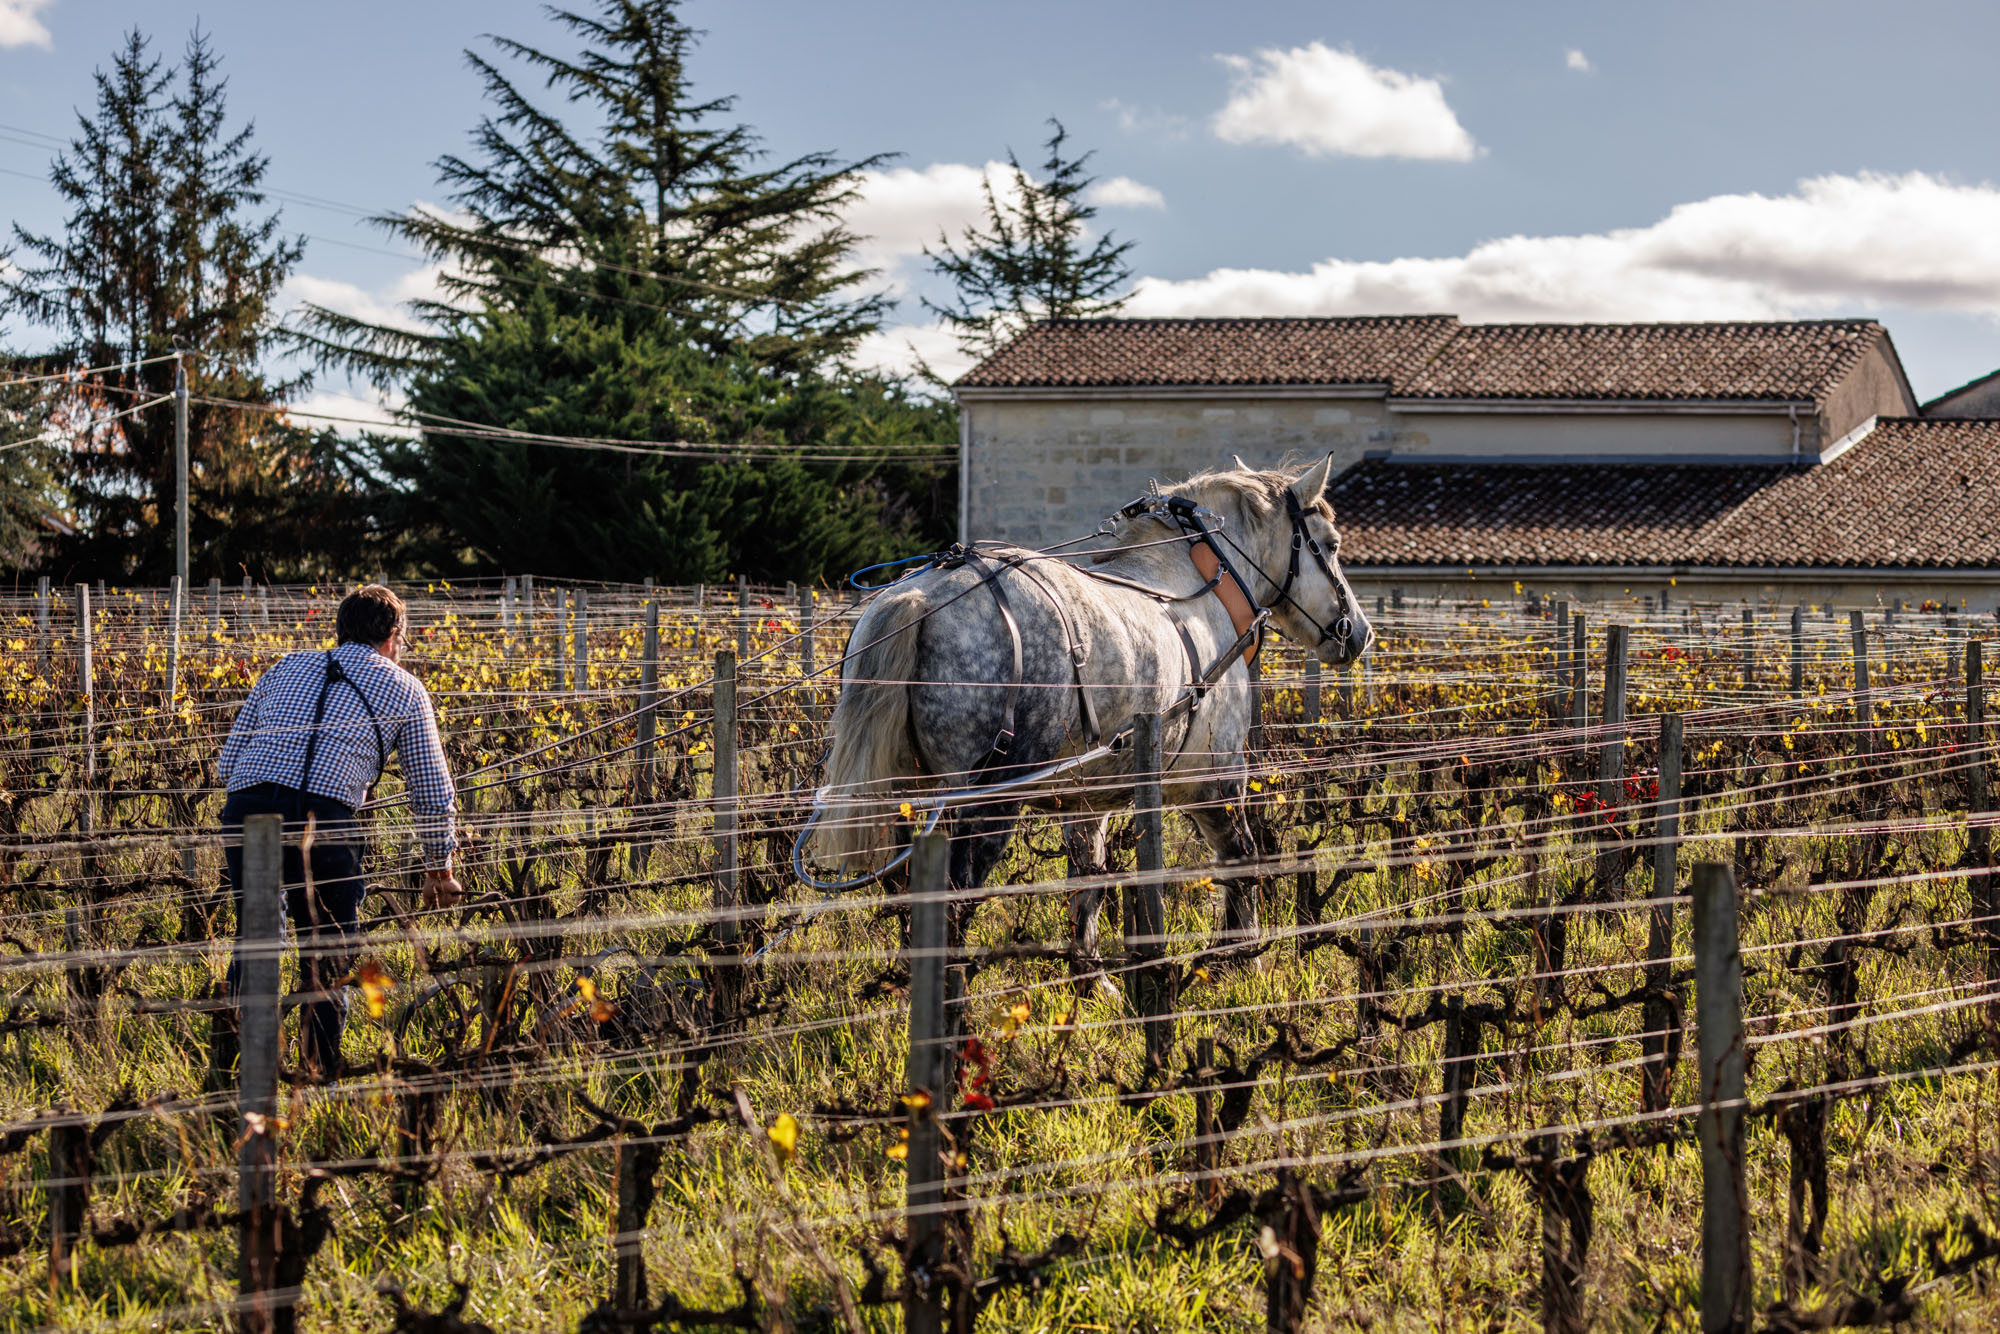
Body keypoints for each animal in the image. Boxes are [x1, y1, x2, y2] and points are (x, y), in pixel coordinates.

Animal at [809, 454, 1374, 966]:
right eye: (1330, 544)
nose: (1359, 632)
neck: (1201, 585)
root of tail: (920, 596)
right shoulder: (1213, 776)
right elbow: (1241, 861)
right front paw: (1239, 963)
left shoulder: (1087, 799)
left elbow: (1088, 885)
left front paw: (1090, 979)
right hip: (988, 801)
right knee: (951, 909)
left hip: (905, 800)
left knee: (909, 903)